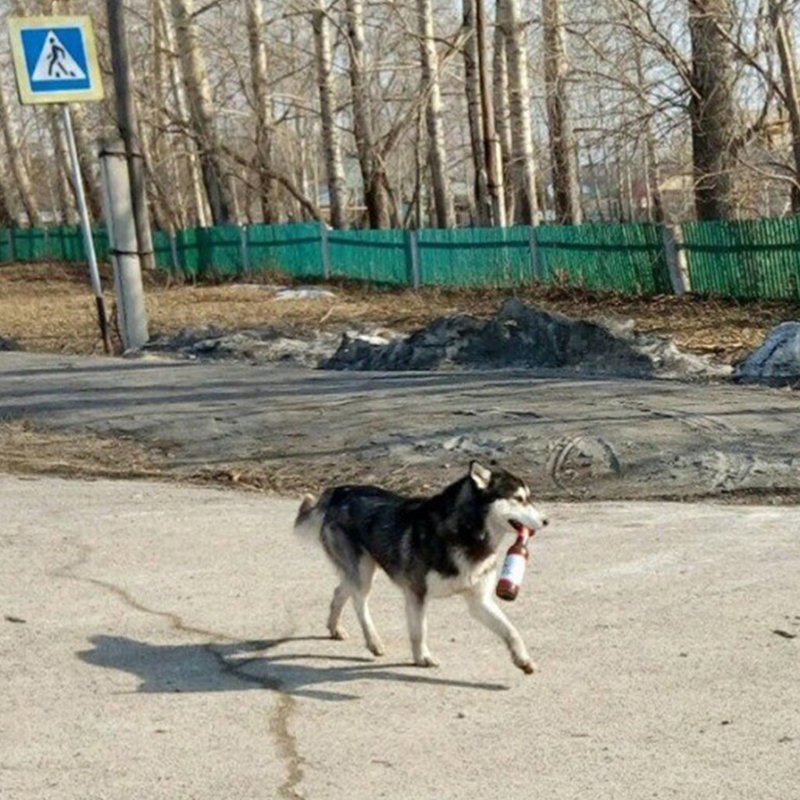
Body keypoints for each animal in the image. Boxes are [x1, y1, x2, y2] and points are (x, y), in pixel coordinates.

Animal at [296, 462, 552, 676]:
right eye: (518, 498)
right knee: (360, 605)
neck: (465, 533)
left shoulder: (479, 601)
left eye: (529, 498)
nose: (546, 520)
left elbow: (511, 631)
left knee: (340, 591)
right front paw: (422, 658)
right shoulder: (416, 594)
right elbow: (419, 631)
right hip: (362, 573)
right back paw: (373, 642)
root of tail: (337, 491)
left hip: (360, 571)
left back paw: (334, 627)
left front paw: (523, 660)